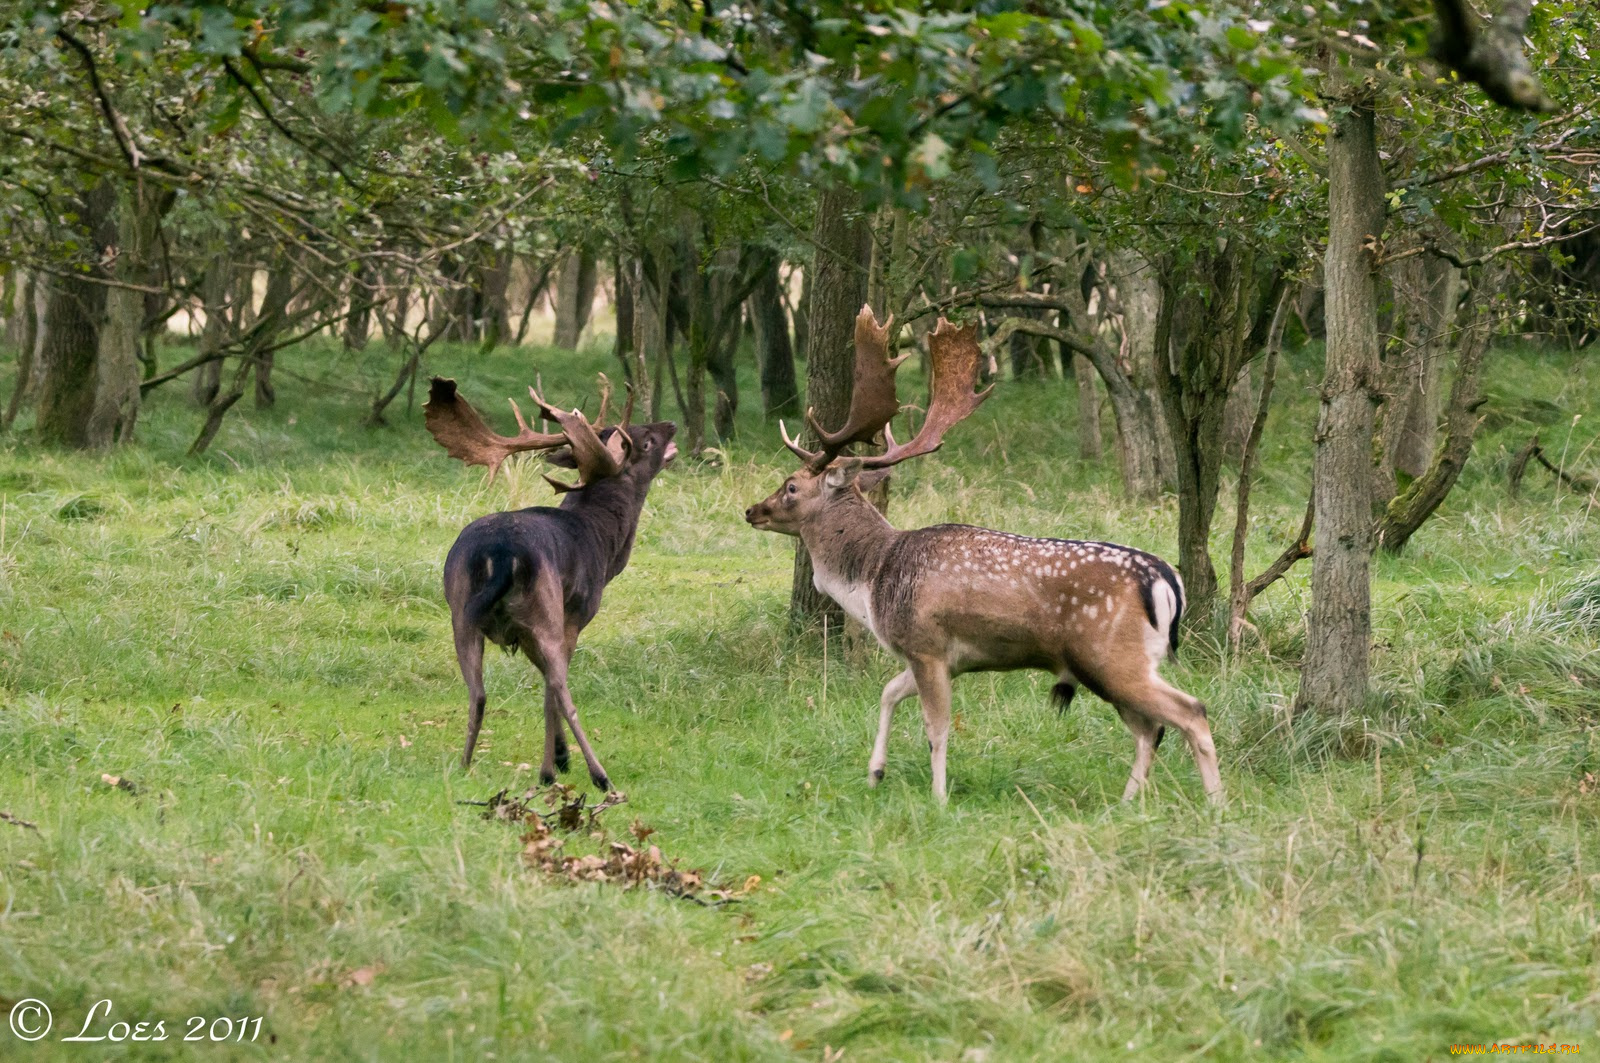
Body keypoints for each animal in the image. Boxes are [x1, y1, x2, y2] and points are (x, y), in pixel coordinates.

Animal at [425, 376, 675, 787]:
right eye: (646, 440)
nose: (670, 424)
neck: (601, 545)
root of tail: (501, 553)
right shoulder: (574, 616)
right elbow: (550, 693)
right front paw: (555, 763)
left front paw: (559, 757)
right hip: (544, 609)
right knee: (562, 690)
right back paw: (598, 775)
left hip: (460, 609)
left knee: (477, 693)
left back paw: (464, 764)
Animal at [742, 307, 1216, 806]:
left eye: (791, 486)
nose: (752, 510)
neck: (873, 580)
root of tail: (1165, 579)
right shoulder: (938, 658)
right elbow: (888, 693)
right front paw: (875, 772)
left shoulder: (926, 644)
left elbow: (936, 728)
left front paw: (938, 799)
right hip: (1122, 663)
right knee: (1150, 729)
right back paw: (1127, 805)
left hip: (1113, 656)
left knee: (1189, 712)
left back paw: (1214, 803)